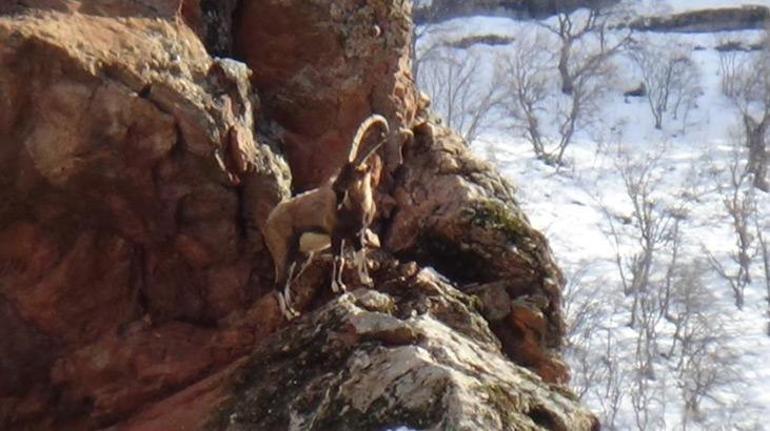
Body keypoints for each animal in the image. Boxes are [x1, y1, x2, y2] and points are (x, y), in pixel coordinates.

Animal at [264, 113, 388, 318]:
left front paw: (366, 281)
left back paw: (293, 312)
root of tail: (268, 223)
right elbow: (339, 259)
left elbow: (357, 256)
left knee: (286, 283)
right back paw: (289, 314)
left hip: (301, 257)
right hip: (283, 251)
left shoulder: (355, 235)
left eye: (353, 172)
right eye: (342, 169)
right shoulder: (336, 234)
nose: (335, 187)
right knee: (279, 285)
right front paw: (339, 287)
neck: (355, 208)